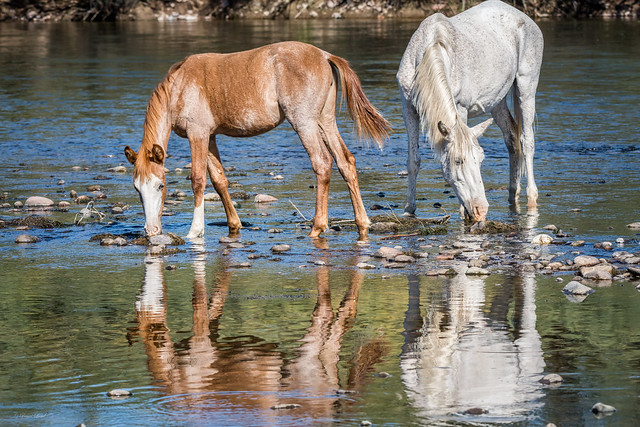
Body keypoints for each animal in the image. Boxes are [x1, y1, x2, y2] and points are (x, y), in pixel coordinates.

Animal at [122, 41, 388, 241]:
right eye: (137, 188)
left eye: (160, 186)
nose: (151, 230)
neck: (179, 87)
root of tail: (324, 56)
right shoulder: (210, 137)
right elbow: (219, 180)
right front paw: (234, 224)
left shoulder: (198, 134)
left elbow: (198, 180)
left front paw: (195, 230)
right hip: (325, 120)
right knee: (345, 162)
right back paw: (362, 223)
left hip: (304, 122)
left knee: (322, 163)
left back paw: (317, 227)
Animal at [398, 0, 544, 221]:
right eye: (458, 161)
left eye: (481, 159)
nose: (481, 209)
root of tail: (526, 19)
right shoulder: (409, 108)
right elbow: (413, 161)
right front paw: (409, 209)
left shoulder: (461, 108)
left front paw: (462, 214)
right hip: (498, 101)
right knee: (512, 138)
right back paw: (513, 193)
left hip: (526, 88)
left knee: (527, 141)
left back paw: (532, 198)